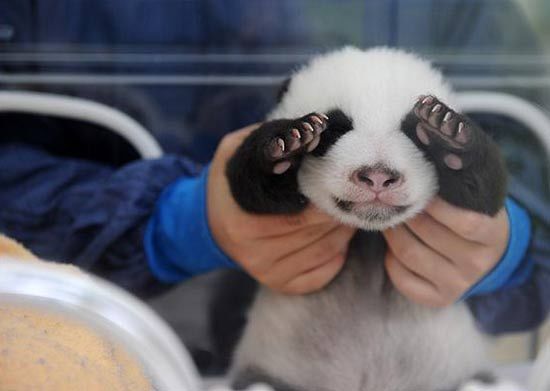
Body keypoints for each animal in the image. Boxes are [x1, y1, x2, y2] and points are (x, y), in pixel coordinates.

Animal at [224, 47, 508, 391]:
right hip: (268, 370)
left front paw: (447, 132)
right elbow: (248, 187)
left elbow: (486, 192)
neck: (369, 233)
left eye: (412, 132)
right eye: (334, 129)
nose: (377, 176)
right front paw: (287, 142)